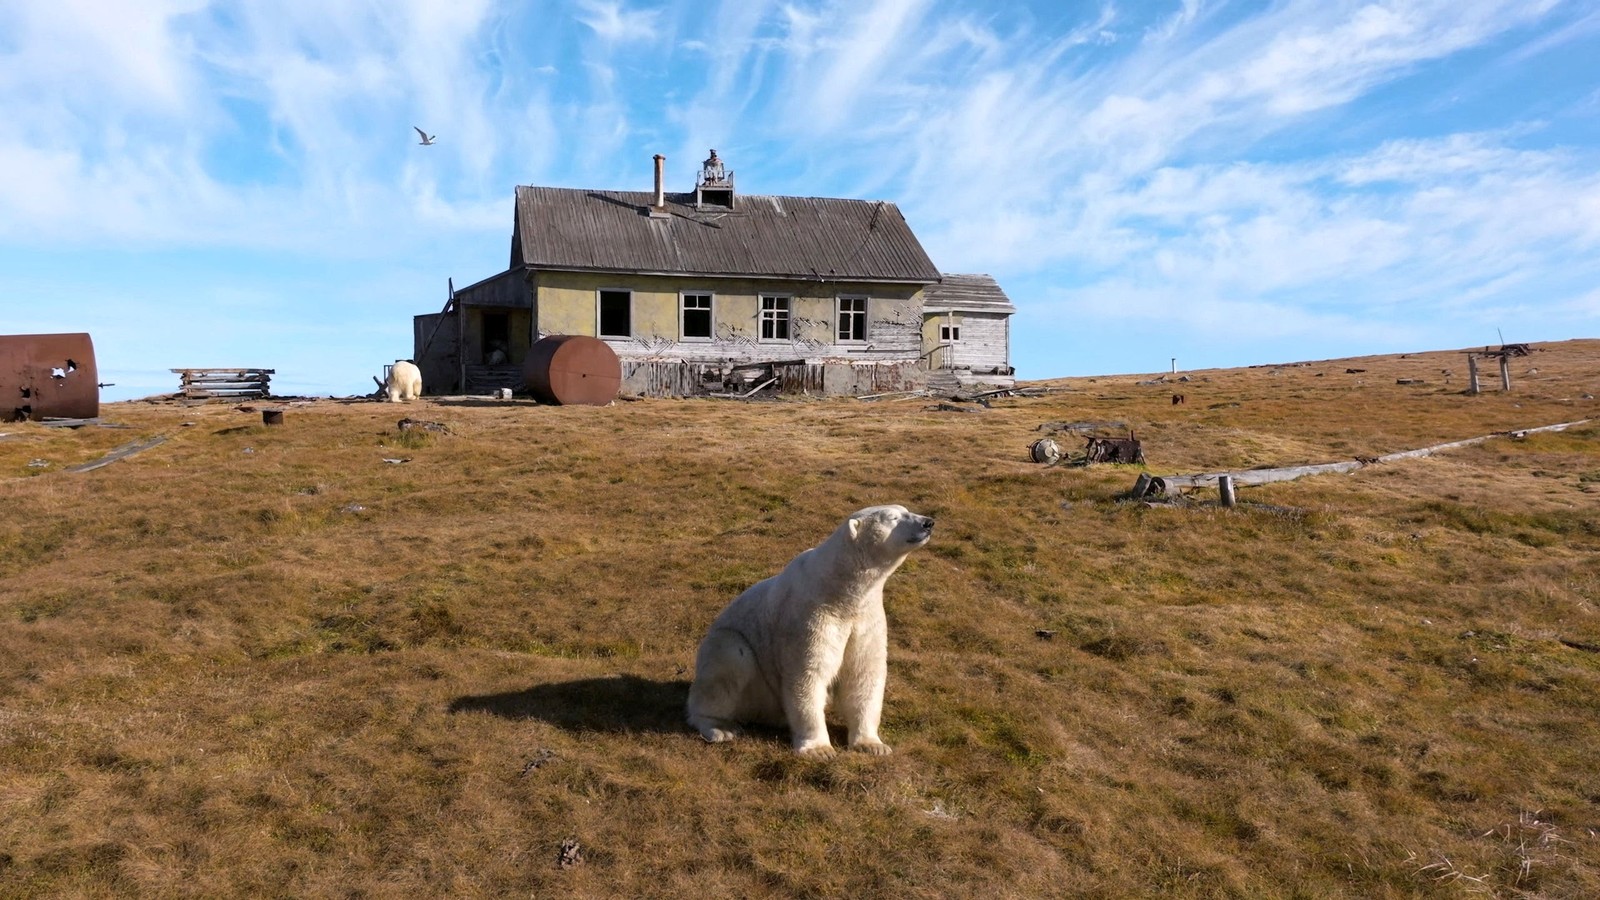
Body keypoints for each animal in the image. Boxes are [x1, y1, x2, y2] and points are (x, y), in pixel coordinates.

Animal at [686, 504, 934, 758]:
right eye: (893, 518)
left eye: (905, 510)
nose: (928, 522)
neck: (839, 589)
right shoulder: (810, 614)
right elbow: (808, 673)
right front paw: (820, 750)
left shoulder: (866, 617)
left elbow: (863, 672)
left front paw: (873, 745)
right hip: (733, 656)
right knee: (728, 664)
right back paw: (720, 727)